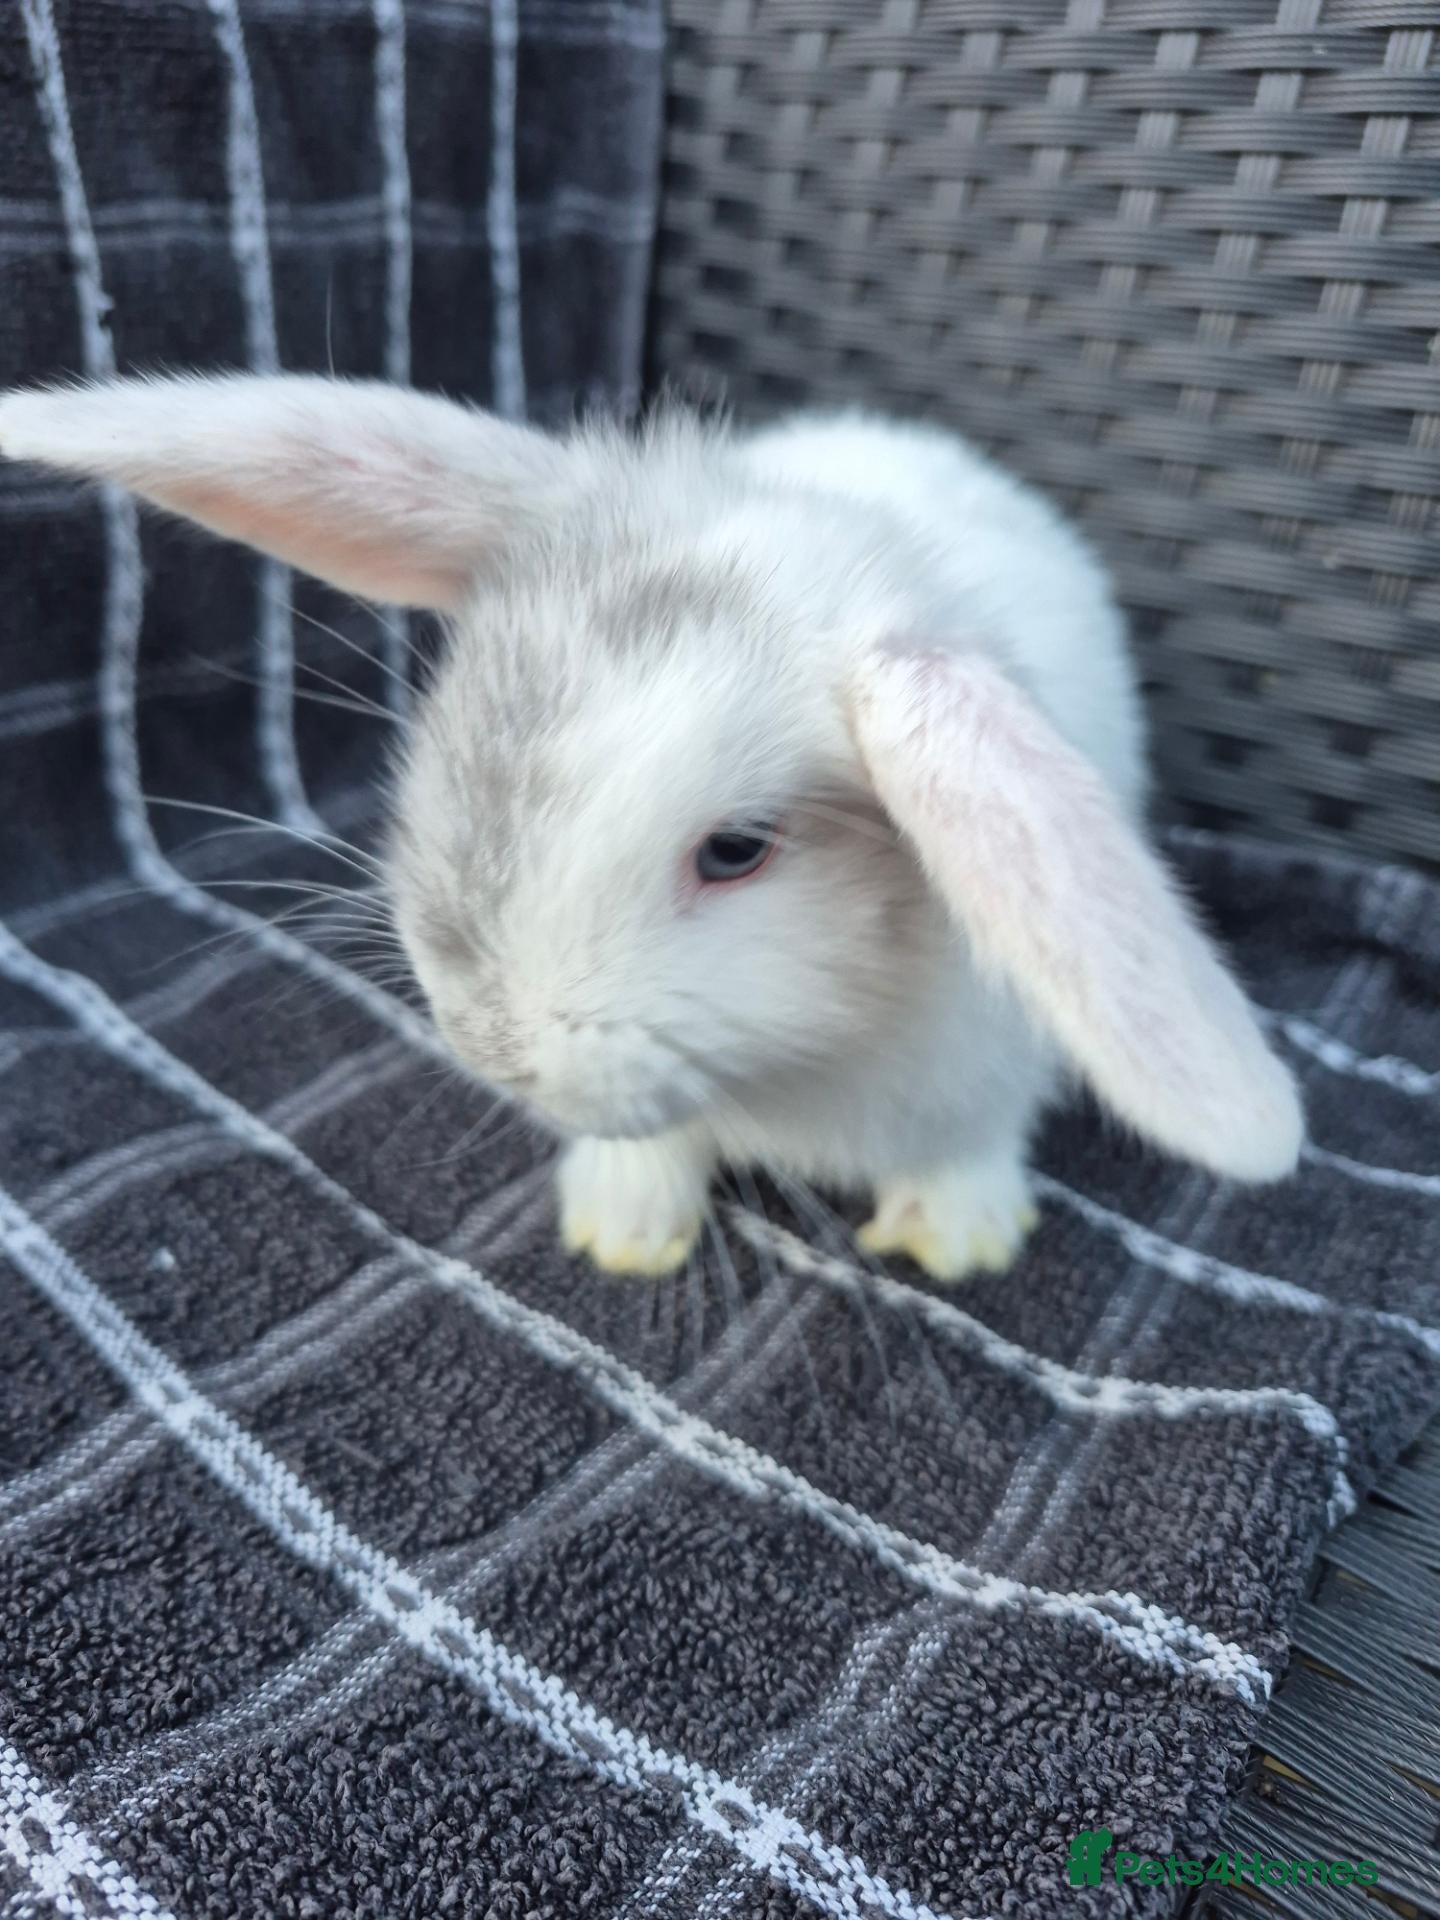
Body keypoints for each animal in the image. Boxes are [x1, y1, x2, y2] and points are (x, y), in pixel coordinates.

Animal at [0, 374, 1303, 1279]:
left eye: (738, 850)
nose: (490, 1045)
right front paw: (621, 1233)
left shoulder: (984, 1080)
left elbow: (966, 1148)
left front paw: (960, 1242)